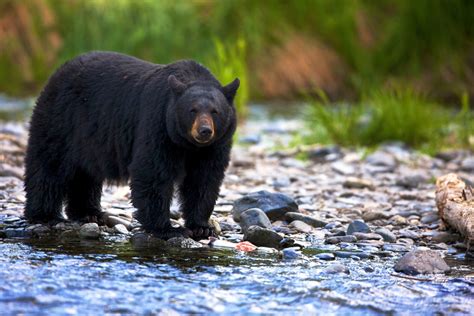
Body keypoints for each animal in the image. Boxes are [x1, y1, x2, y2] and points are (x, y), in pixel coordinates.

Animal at [24, 51, 239, 239]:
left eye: (215, 111)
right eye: (192, 110)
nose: (204, 131)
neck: (188, 144)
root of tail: (59, 71)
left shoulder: (214, 146)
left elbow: (204, 180)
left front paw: (201, 227)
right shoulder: (157, 124)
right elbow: (153, 172)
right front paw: (168, 229)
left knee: (85, 174)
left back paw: (89, 213)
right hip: (61, 120)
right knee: (49, 165)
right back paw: (45, 215)